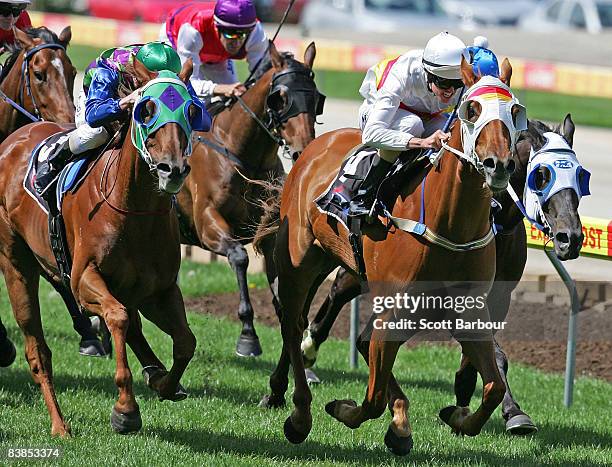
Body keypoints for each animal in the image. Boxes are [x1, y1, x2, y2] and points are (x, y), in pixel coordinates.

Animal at [0, 60, 197, 436]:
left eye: (193, 111)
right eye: (146, 109)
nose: (173, 169)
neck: (134, 207)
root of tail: (11, 141)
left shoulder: (160, 290)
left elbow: (185, 342)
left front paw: (165, 383)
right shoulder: (83, 279)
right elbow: (117, 318)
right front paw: (125, 409)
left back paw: (154, 372)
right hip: (16, 263)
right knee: (38, 352)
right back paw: (60, 426)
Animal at [175, 42, 320, 356]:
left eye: (315, 97)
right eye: (281, 98)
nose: (303, 150)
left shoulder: (269, 234)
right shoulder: (207, 224)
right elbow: (239, 258)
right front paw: (248, 335)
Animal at [256, 59, 524, 458]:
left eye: (515, 111)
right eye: (471, 110)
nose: (498, 165)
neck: (450, 223)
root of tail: (314, 146)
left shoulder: (466, 310)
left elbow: (492, 388)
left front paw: (454, 417)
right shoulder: (394, 309)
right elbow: (373, 397)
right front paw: (345, 410)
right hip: (300, 261)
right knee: (293, 323)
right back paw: (299, 415)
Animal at [298, 115, 584, 436]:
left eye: (580, 176)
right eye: (541, 176)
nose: (570, 238)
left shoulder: (496, 296)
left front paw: (473, 401)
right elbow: (496, 355)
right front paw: (508, 412)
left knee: (359, 330)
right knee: (339, 299)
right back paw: (309, 350)